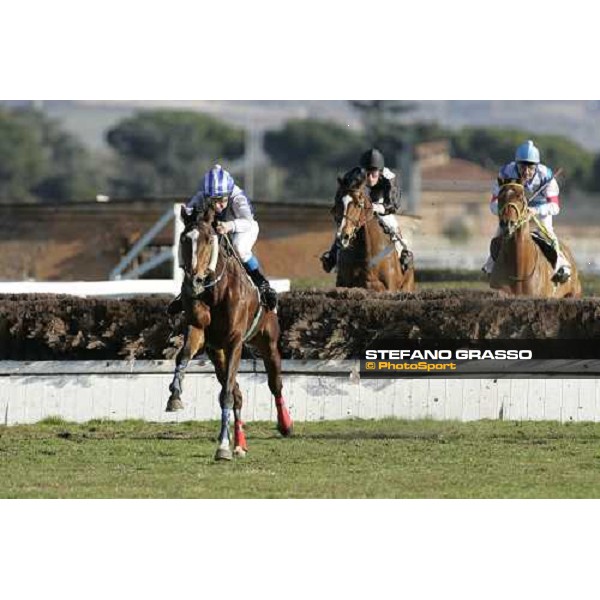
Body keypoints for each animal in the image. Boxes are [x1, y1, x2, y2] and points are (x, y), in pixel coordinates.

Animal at [166, 204, 292, 462]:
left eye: (208, 239)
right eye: (184, 239)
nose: (193, 282)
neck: (215, 292)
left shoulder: (235, 341)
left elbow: (227, 395)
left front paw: (223, 447)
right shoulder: (200, 333)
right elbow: (183, 357)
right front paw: (175, 396)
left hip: (269, 343)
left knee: (275, 384)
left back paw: (285, 425)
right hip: (218, 354)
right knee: (237, 393)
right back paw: (240, 443)